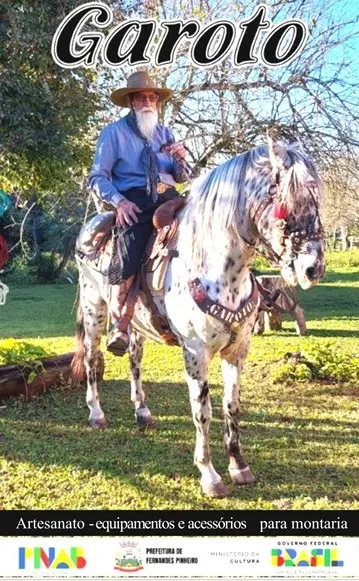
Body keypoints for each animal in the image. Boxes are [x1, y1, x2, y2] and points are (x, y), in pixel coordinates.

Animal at [71, 138, 326, 496]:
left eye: (316, 198)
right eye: (285, 201)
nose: (313, 268)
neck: (218, 269)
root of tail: (94, 225)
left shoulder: (238, 350)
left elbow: (231, 405)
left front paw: (239, 466)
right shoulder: (195, 352)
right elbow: (202, 411)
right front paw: (209, 474)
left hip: (135, 322)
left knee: (134, 358)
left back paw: (142, 411)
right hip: (94, 307)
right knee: (92, 359)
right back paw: (96, 413)